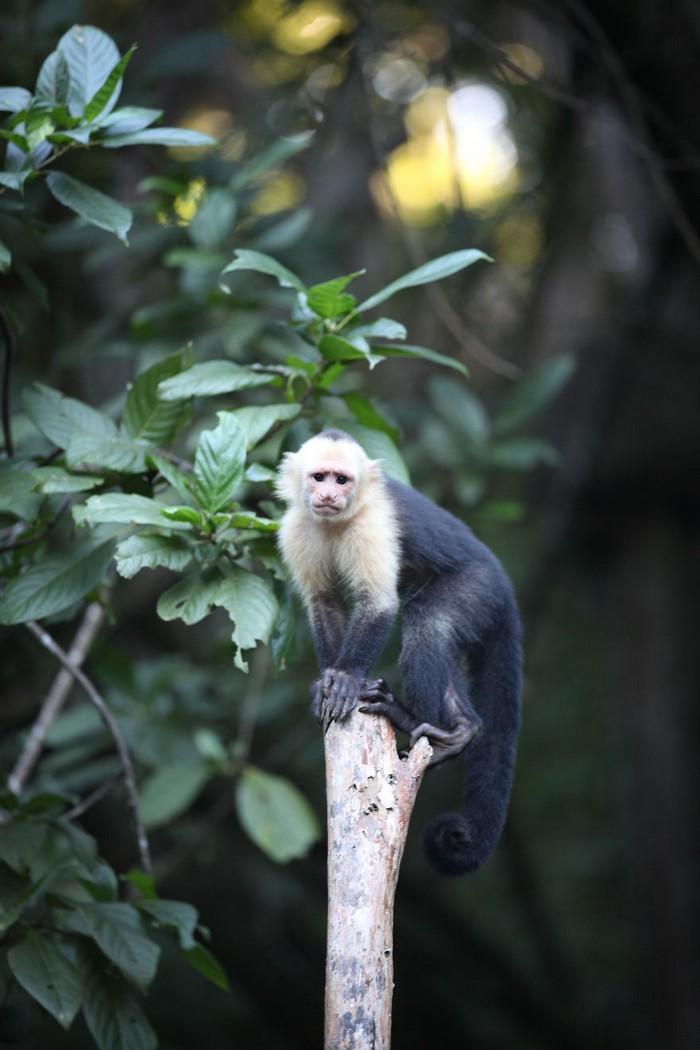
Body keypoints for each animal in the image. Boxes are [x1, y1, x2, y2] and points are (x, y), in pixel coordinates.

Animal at [277, 428, 522, 877]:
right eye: (319, 477)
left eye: (342, 480)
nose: (328, 495)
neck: (338, 522)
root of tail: (502, 582)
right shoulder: (296, 526)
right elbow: (324, 603)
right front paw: (326, 684)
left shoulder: (373, 524)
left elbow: (379, 604)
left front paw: (347, 679)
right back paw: (462, 730)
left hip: (477, 587)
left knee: (427, 623)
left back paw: (428, 724)